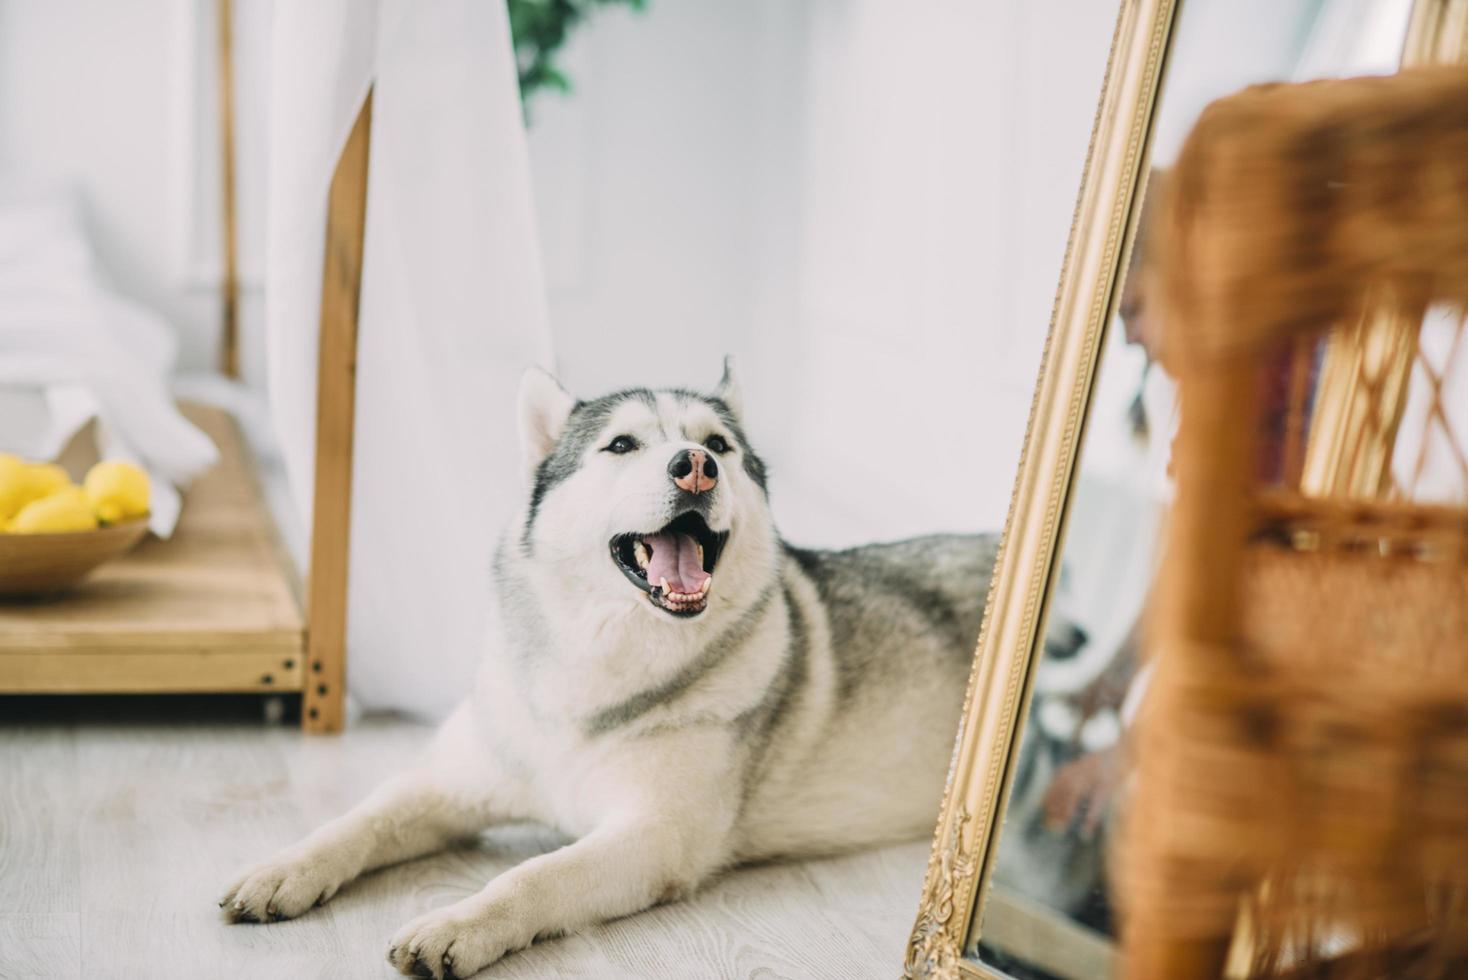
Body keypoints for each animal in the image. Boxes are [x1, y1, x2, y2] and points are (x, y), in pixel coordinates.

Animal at [220, 363, 998, 974]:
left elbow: (532, 875)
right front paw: (281, 869)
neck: (600, 658)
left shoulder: (649, 837)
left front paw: (459, 924)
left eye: (719, 446)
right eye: (622, 445)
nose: (696, 465)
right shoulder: (447, 783)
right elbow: (359, 821)